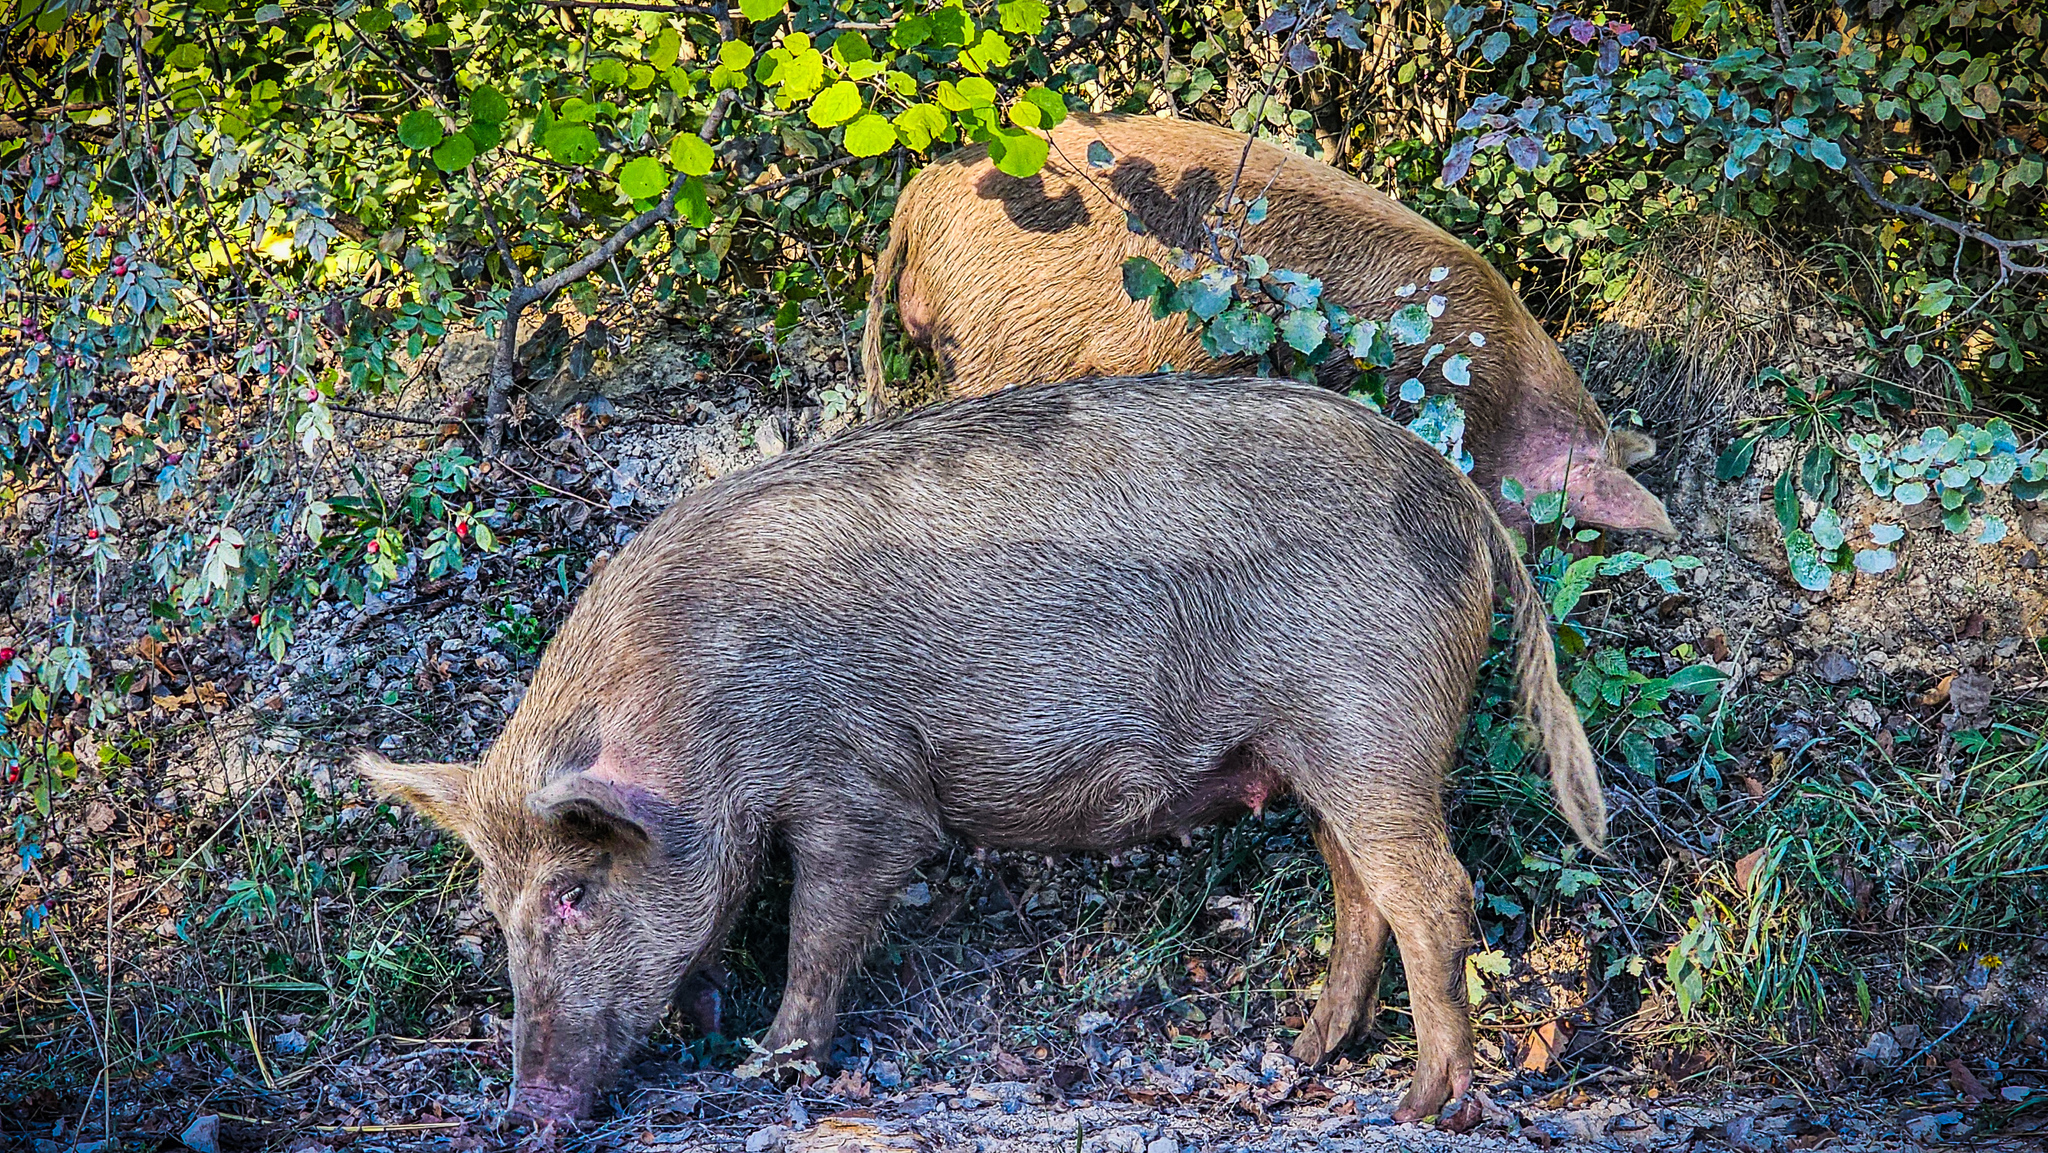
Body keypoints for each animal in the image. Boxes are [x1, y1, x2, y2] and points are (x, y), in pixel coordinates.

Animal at [360, 376, 1605, 1130]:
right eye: (495, 900)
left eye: (572, 891)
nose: (524, 1111)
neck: (696, 700)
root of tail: (1462, 495)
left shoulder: (862, 789)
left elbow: (822, 921)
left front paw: (769, 1064)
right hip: (1312, 749)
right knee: (1360, 891)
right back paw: (1306, 1055)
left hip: (1371, 719)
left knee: (1434, 892)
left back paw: (1421, 1107)